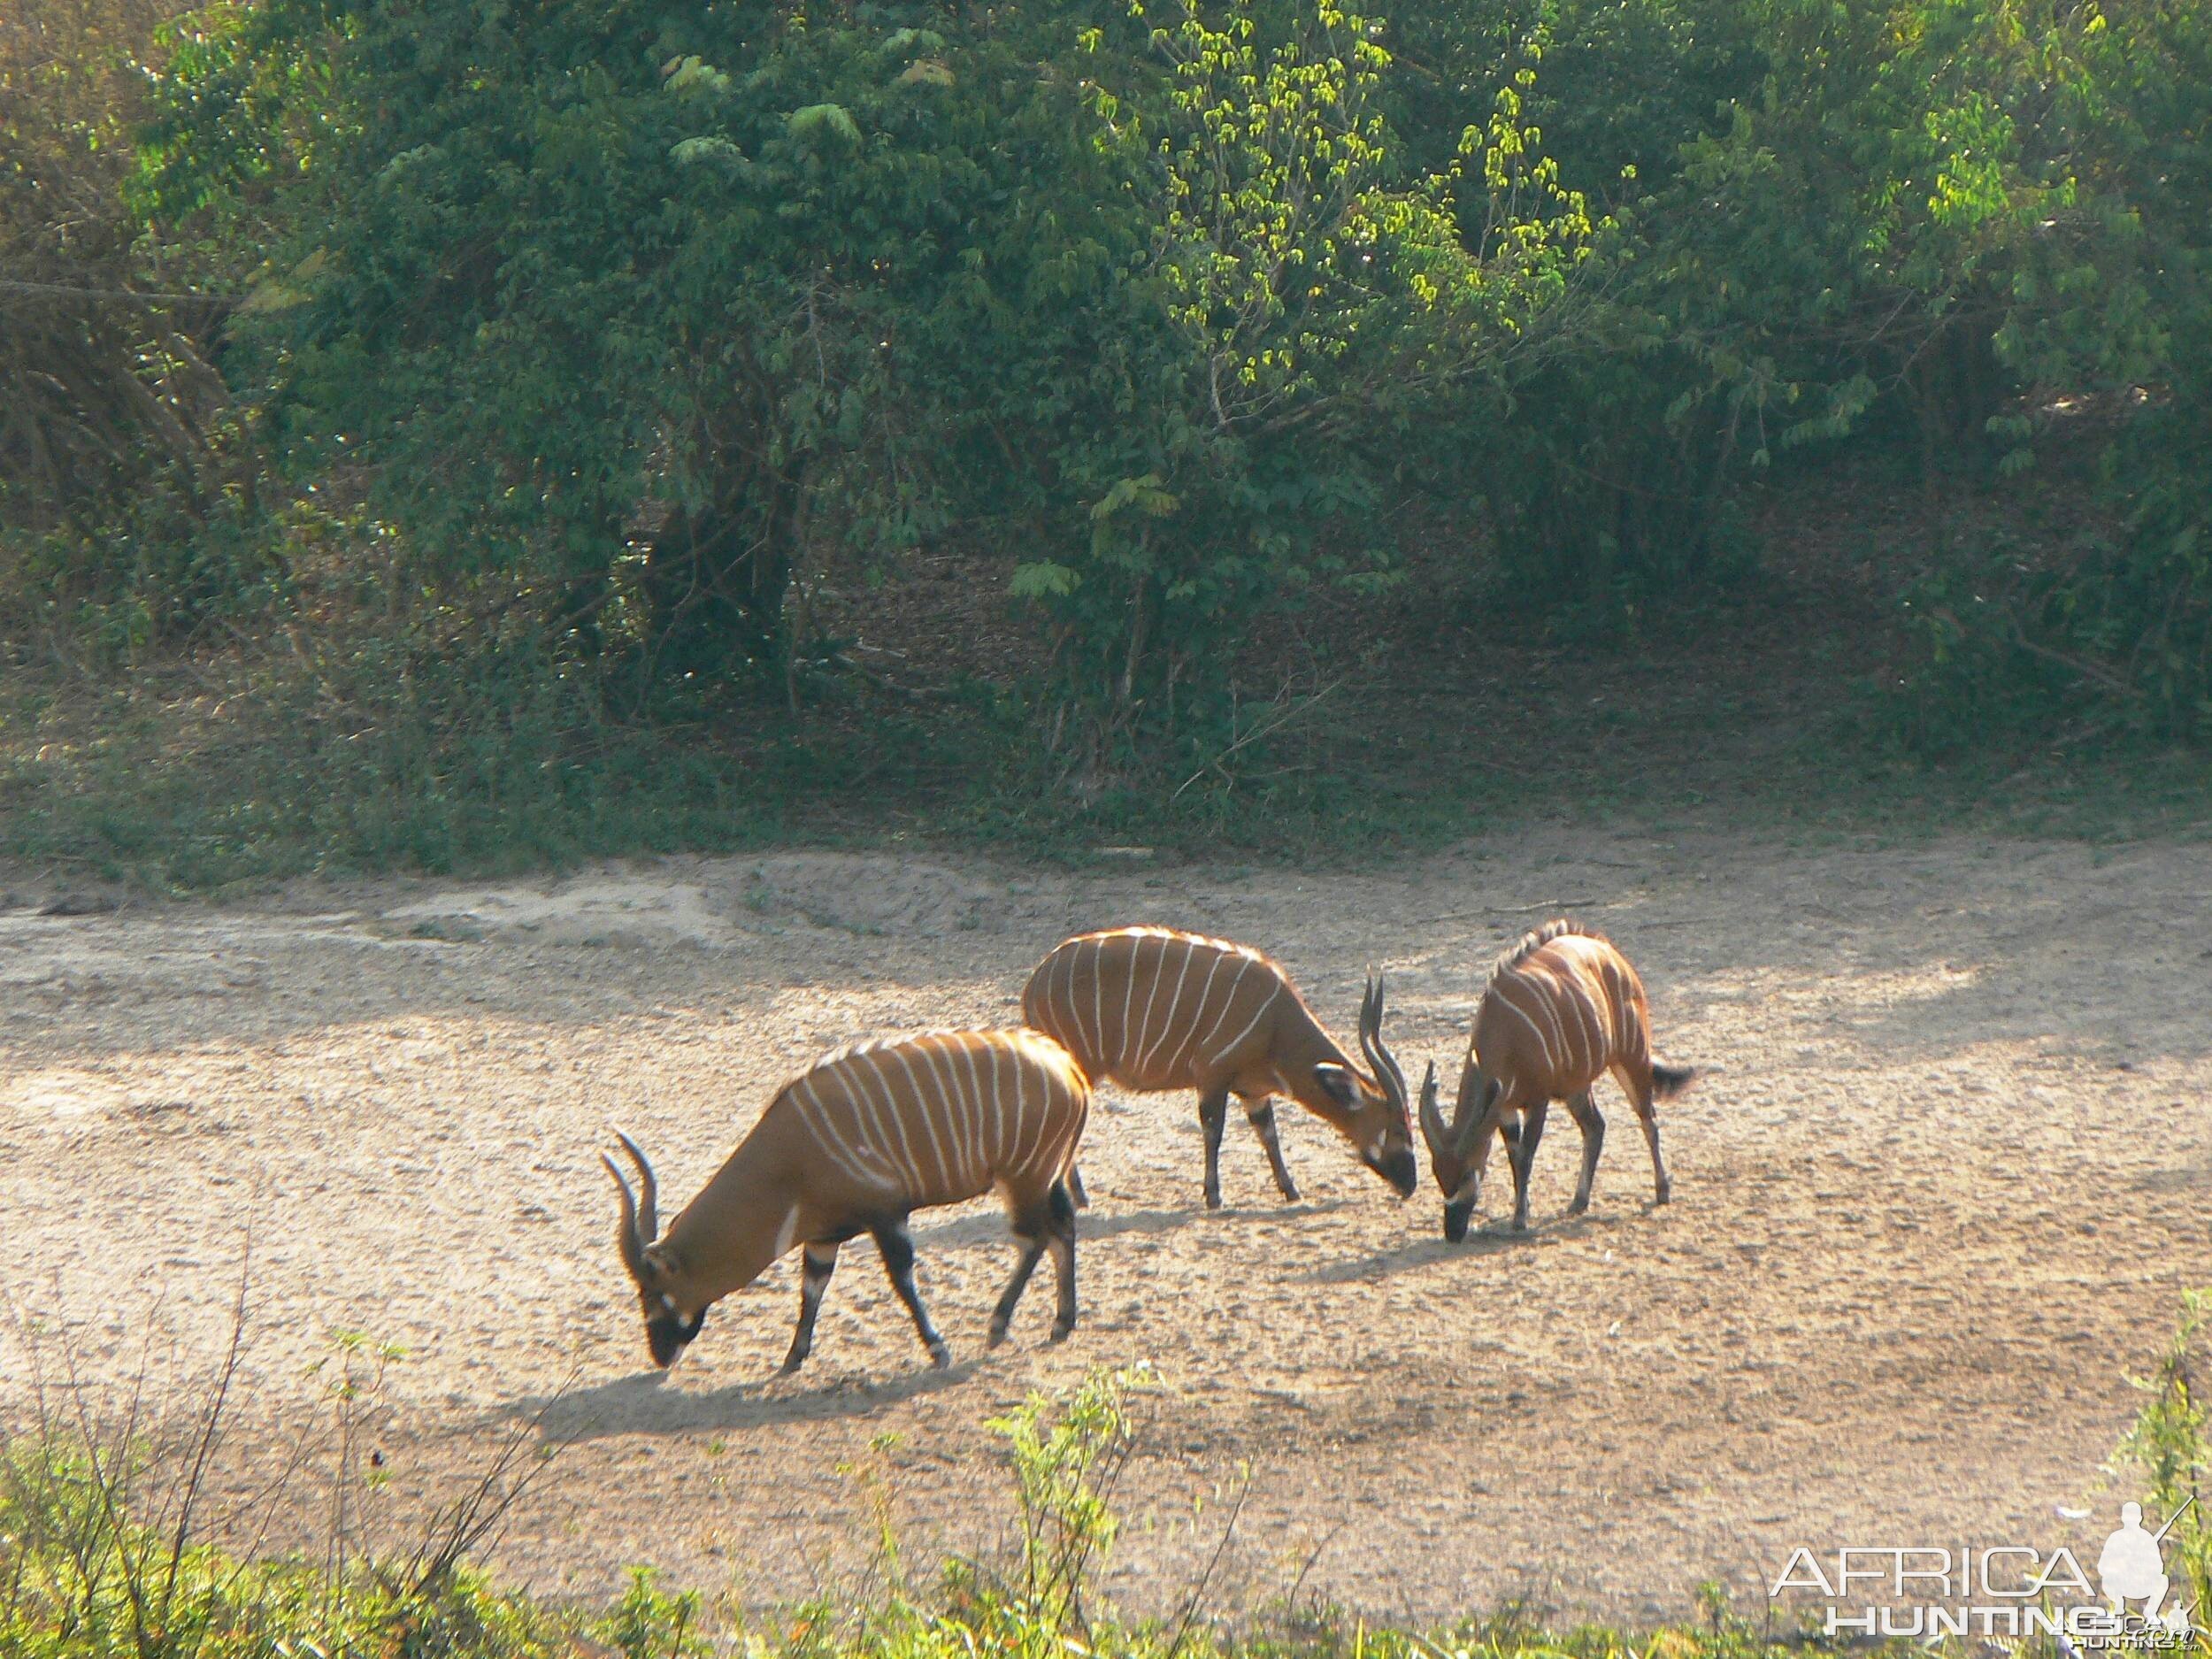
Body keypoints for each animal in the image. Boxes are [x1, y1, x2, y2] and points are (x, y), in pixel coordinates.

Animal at [602, 1026, 1093, 1380]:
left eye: (653, 1292)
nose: (661, 1354)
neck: (790, 1159)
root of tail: (1069, 1067)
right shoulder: (823, 1238)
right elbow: (812, 1287)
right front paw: (792, 1358)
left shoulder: (887, 1215)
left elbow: (901, 1279)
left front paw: (938, 1349)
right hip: (1043, 1177)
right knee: (1062, 1229)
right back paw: (1061, 1323)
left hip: (1023, 1178)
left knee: (1036, 1238)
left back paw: (998, 1326)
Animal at [1018, 929, 1416, 1212]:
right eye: (1397, 1127)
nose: (1410, 1184)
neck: (1276, 1024)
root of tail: (1034, 981)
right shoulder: (1211, 1076)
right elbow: (1214, 1132)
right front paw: (1213, 1196)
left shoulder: (1253, 1091)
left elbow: (1268, 1134)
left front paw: (1291, 1190)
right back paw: (1079, 1196)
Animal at [1416, 925, 1690, 1248]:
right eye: (1439, 1176)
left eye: (1468, 1174)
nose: (1453, 1231)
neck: (1505, 1033)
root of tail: (1611, 953)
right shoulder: (1505, 1107)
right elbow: (1514, 1157)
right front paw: (1523, 1209)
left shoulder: (1538, 1100)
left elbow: (1525, 1157)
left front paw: (1520, 1219)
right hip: (1577, 1086)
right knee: (1596, 1127)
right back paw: (1579, 1201)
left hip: (1632, 1058)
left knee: (1649, 1120)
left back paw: (1662, 1191)